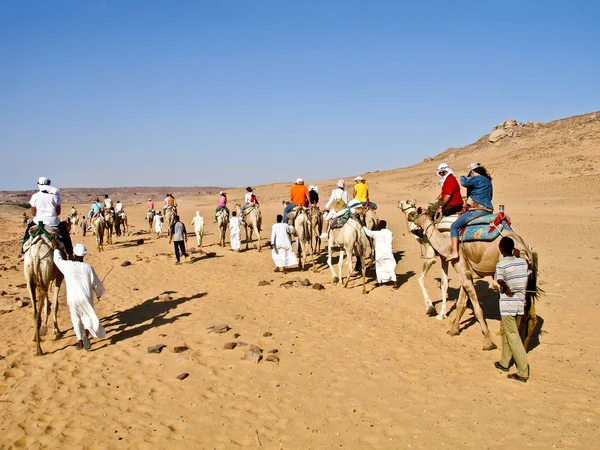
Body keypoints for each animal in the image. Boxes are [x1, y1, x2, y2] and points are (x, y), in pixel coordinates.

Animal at [22, 227, 64, 356]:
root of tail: (36, 254)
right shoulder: (59, 276)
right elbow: (55, 304)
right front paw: (56, 329)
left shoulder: (46, 279)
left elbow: (47, 304)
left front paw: (44, 328)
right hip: (45, 271)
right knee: (42, 298)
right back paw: (39, 348)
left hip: (30, 278)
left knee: (35, 310)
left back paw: (37, 340)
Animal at [412, 211, 540, 352]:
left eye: (416, 213)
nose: (411, 218)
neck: (447, 245)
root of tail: (526, 249)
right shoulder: (466, 274)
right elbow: (460, 303)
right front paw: (453, 330)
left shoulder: (462, 270)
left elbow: (478, 309)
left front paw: (488, 342)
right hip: (527, 279)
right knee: (528, 313)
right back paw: (523, 345)